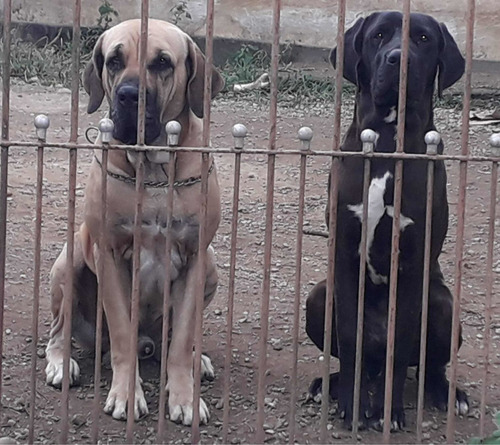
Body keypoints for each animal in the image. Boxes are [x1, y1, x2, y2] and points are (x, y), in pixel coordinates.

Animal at [304, 12, 468, 430]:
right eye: (378, 36)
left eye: (423, 39)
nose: (399, 59)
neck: (388, 140)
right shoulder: (345, 257)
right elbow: (349, 335)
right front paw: (351, 405)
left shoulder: (411, 266)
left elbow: (402, 340)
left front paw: (389, 412)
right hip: (319, 298)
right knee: (359, 357)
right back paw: (329, 383)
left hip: (443, 305)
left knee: (425, 364)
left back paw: (446, 392)